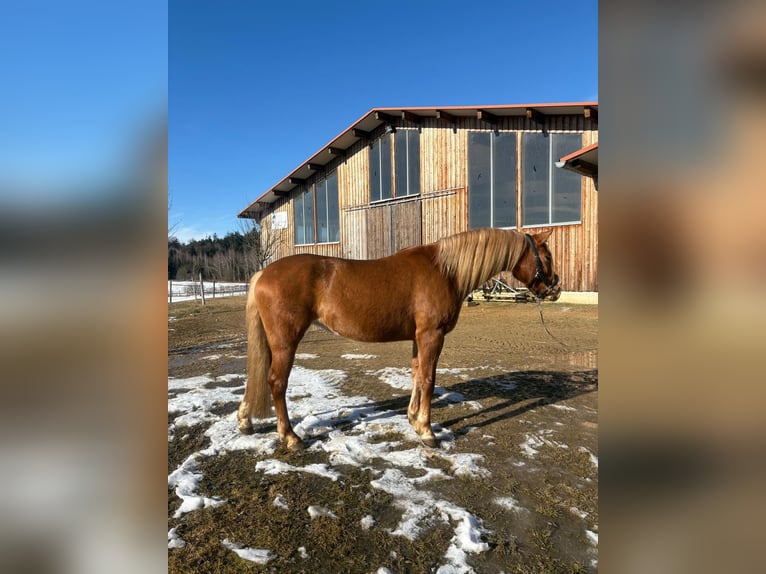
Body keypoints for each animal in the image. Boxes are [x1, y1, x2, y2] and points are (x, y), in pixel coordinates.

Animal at [237, 228, 560, 448]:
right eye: (546, 256)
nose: (555, 288)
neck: (446, 270)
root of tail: (263, 273)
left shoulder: (419, 337)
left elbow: (416, 375)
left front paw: (414, 420)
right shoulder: (432, 335)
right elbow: (428, 380)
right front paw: (428, 432)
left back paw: (245, 420)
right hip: (286, 342)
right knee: (276, 382)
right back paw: (290, 437)